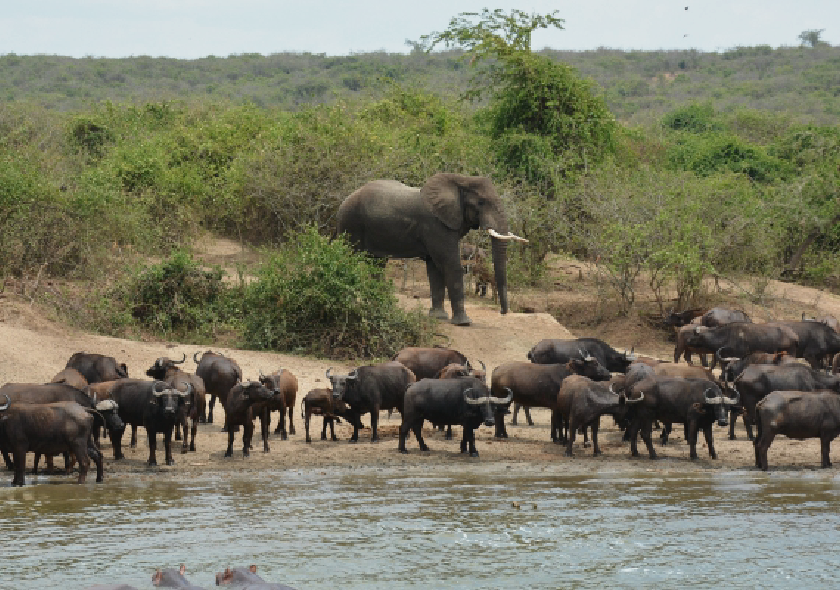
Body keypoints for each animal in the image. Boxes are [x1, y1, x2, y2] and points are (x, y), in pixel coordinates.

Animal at [336, 173, 524, 326]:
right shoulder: (436, 225)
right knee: (348, 255)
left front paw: (438, 317)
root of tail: (345, 200)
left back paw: (380, 301)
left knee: (377, 264)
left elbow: (435, 269)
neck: (461, 180)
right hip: (350, 222)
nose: (502, 312)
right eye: (481, 202)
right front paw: (464, 322)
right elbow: (450, 264)